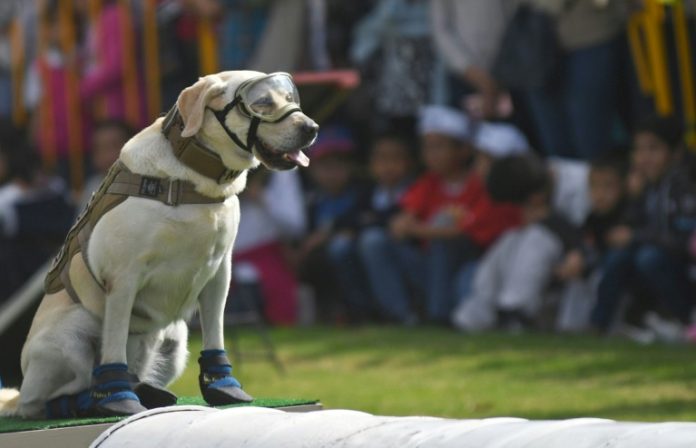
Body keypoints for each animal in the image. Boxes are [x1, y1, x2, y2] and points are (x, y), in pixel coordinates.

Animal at [1, 71, 316, 420]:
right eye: (261, 103)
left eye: (289, 97)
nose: (312, 128)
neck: (194, 178)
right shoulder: (123, 277)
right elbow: (113, 345)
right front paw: (119, 400)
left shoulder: (220, 273)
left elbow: (215, 332)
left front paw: (224, 387)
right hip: (70, 338)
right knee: (48, 401)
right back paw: (94, 400)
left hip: (175, 340)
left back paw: (147, 390)